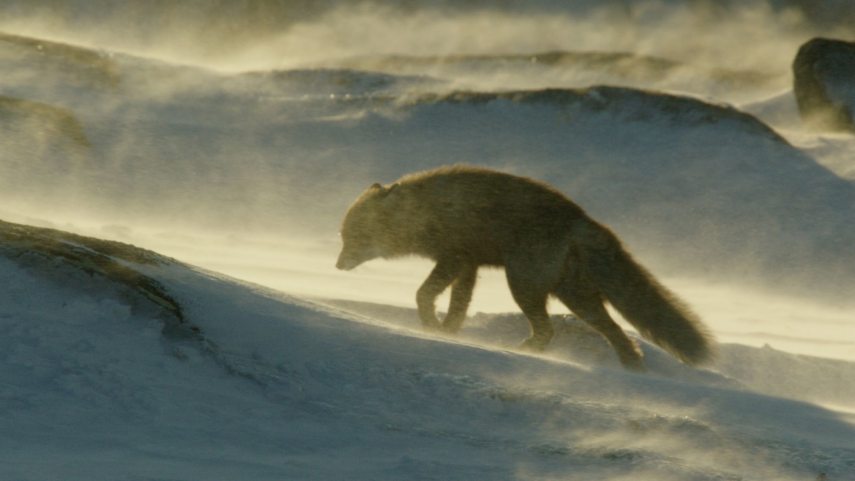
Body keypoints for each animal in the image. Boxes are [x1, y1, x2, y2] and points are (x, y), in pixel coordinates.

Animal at [334, 163, 716, 370]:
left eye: (352, 236)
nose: (337, 265)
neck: (427, 211)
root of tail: (581, 219)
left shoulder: (455, 256)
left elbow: (424, 294)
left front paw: (431, 326)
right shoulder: (468, 264)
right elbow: (458, 304)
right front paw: (448, 333)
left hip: (523, 285)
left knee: (549, 331)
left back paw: (522, 351)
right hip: (575, 298)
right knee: (614, 332)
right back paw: (632, 367)